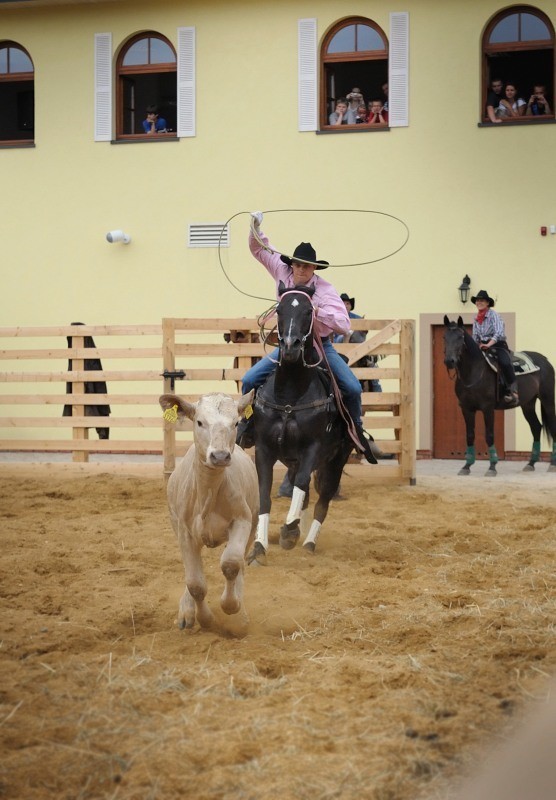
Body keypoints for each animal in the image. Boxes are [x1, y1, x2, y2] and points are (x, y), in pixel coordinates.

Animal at [159, 394, 258, 632]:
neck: (209, 492)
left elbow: (231, 563)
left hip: (254, 523)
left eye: (236, 423)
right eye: (199, 422)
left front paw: (231, 606)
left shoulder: (243, 520)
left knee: (240, 562)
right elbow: (195, 583)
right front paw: (204, 619)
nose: (220, 456)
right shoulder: (185, 532)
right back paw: (186, 612)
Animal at [444, 312, 556, 476]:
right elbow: (470, 435)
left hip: (548, 400)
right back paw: (530, 463)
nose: (449, 361)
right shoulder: (466, 408)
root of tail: (545, 361)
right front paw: (466, 466)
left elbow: (489, 435)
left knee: (551, 426)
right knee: (536, 427)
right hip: (527, 404)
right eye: (444, 337)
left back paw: (552, 464)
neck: (474, 372)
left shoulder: (487, 408)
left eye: (460, 337)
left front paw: (492, 466)